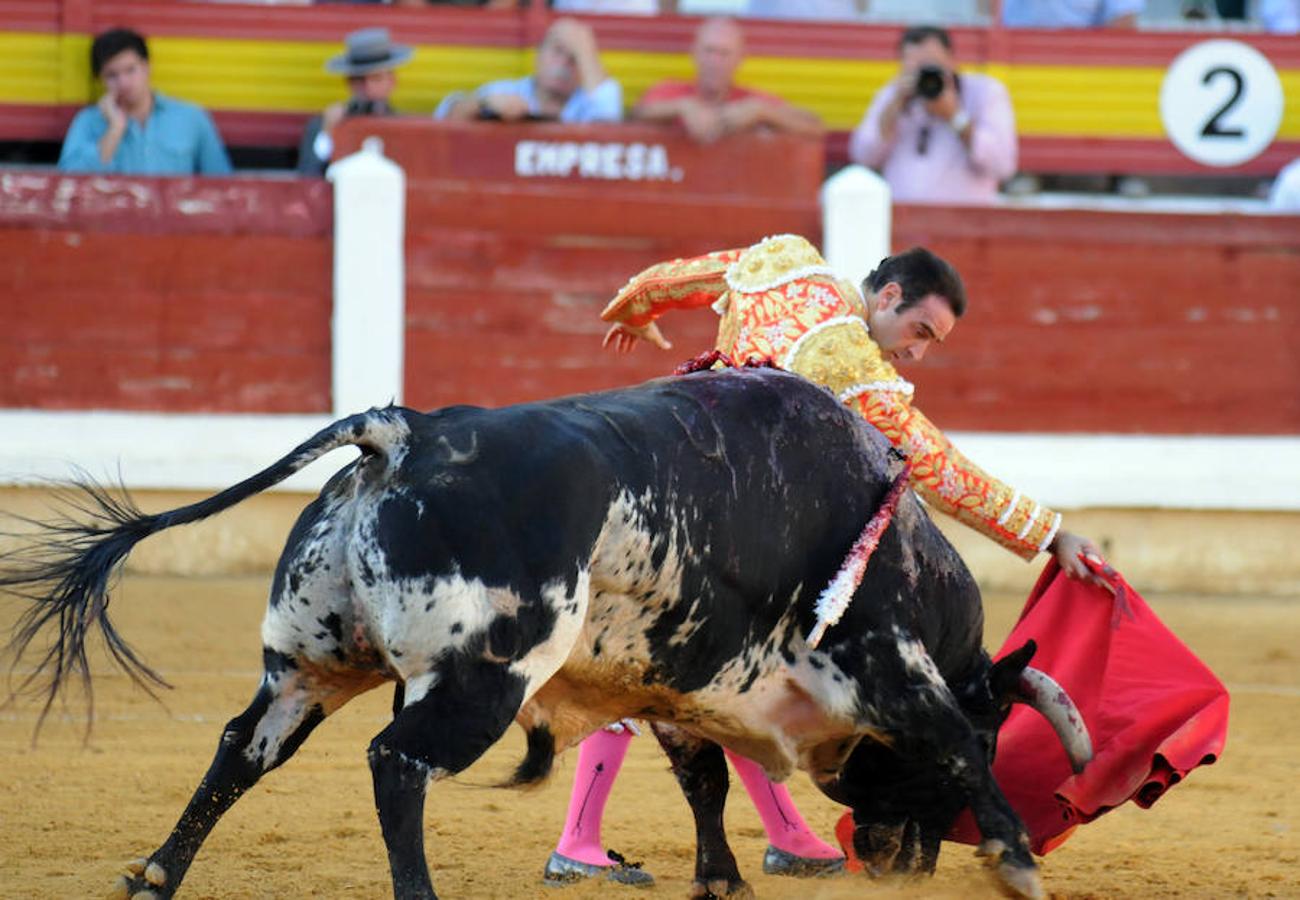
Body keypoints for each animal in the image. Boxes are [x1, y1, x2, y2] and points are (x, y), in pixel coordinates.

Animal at [5, 366, 1086, 900]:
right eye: (1001, 732)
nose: (906, 862)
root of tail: (409, 431)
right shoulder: (882, 661)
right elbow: (948, 738)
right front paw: (1017, 860)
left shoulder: (677, 686)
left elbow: (701, 780)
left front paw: (722, 881)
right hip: (482, 675)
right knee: (398, 760)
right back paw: (417, 897)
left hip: (310, 663)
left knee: (244, 745)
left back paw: (155, 876)